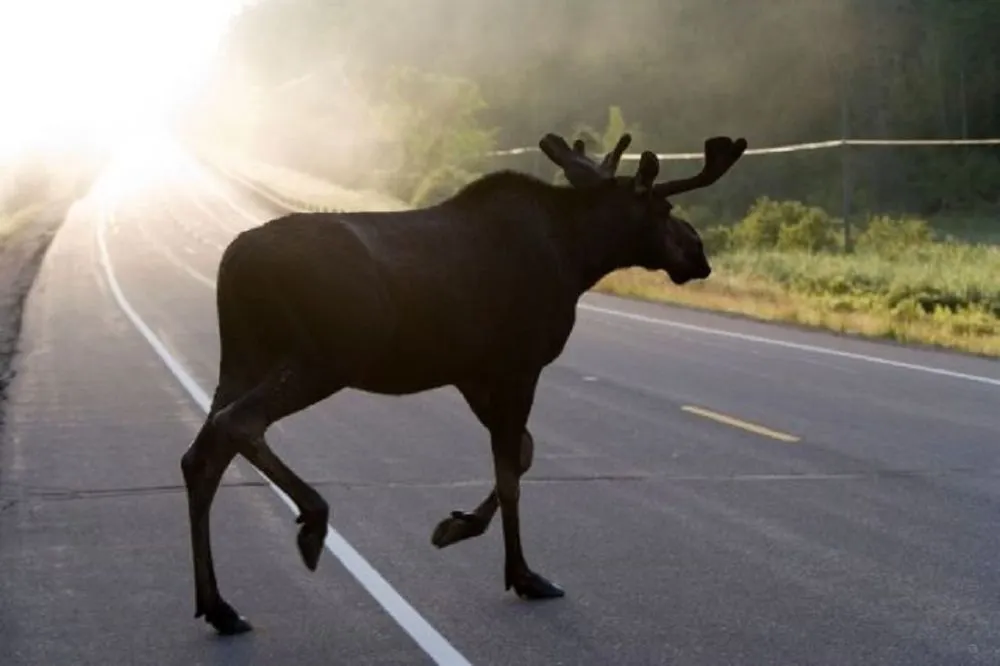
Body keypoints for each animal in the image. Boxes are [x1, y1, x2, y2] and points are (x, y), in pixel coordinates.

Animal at [180, 130, 747, 635]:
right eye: (665, 210)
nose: (699, 254)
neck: (580, 257)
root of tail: (233, 262)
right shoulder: (518, 363)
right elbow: (510, 471)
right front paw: (522, 575)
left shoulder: (473, 372)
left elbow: (523, 453)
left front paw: (458, 525)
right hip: (323, 358)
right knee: (238, 423)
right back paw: (312, 523)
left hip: (244, 357)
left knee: (200, 456)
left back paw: (219, 607)